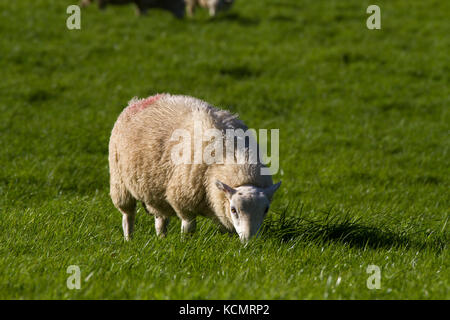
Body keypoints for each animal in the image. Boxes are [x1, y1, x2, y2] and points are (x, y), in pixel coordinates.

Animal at [108, 93, 282, 242]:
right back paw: (129, 239)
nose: (249, 240)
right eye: (234, 210)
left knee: (160, 219)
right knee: (128, 215)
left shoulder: (219, 206)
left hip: (157, 190)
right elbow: (188, 227)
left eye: (266, 209)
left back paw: (161, 238)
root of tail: (140, 101)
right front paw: (185, 243)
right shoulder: (183, 201)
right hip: (119, 182)